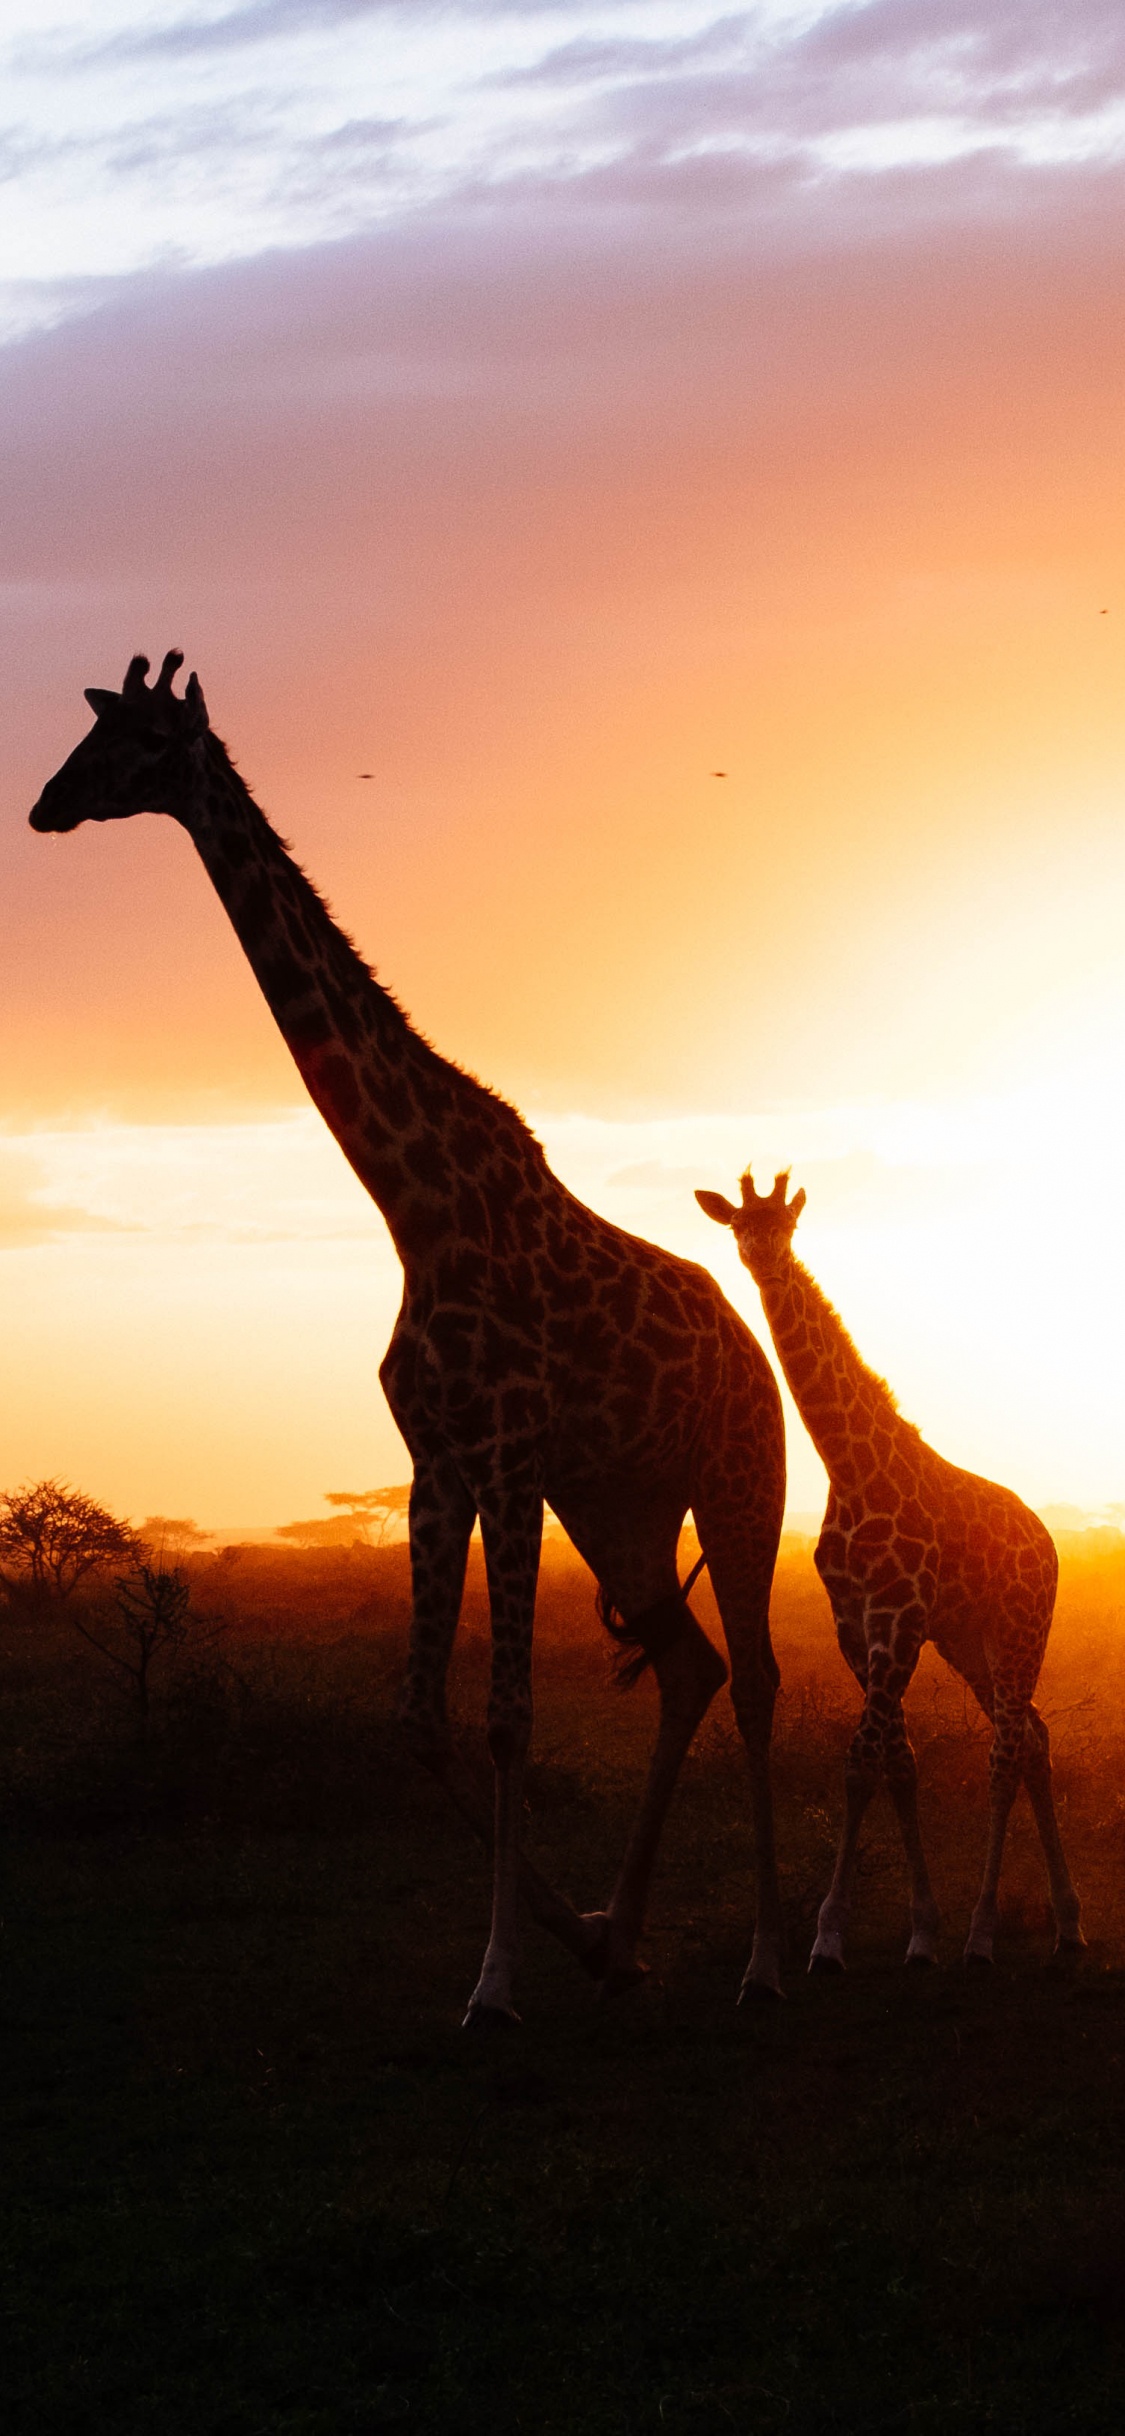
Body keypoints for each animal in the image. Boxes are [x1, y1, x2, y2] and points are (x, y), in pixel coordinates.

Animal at [30, 652, 788, 2021]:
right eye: (91, 734)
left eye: (140, 744)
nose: (44, 805)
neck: (414, 1206)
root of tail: (752, 1357)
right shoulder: (438, 1465)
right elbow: (422, 1718)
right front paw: (571, 1937)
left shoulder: (508, 1459)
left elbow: (508, 1715)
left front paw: (495, 1980)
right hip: (623, 1507)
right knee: (692, 1668)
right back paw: (625, 1937)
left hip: (736, 1479)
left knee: (753, 1680)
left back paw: (766, 1959)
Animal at [697, 1168, 1084, 1972]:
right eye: (738, 1227)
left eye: (785, 1225)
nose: (765, 1261)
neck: (848, 1467)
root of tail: (1047, 1541)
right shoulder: (856, 1624)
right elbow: (896, 1761)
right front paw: (919, 1930)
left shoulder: (899, 1617)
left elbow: (860, 1758)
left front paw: (828, 1936)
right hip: (972, 1642)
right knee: (1032, 1737)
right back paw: (1066, 1923)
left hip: (1021, 1629)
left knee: (1006, 1750)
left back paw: (983, 1933)